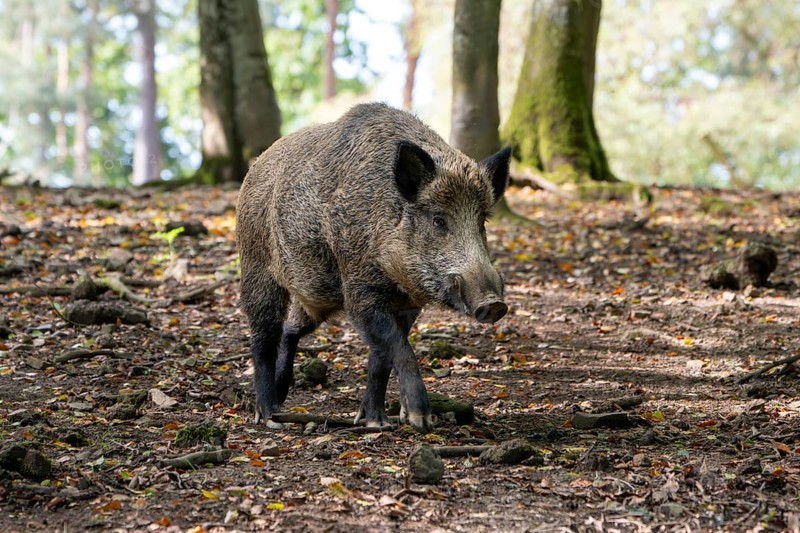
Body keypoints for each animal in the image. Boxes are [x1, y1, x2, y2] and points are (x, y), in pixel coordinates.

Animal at [236, 103, 510, 433]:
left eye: (482, 221)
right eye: (438, 220)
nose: (494, 304)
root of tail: (256, 166)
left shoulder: (407, 305)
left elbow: (382, 358)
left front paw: (375, 422)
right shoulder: (359, 291)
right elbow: (398, 348)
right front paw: (418, 420)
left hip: (316, 294)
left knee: (291, 328)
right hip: (257, 266)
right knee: (262, 337)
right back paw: (269, 416)